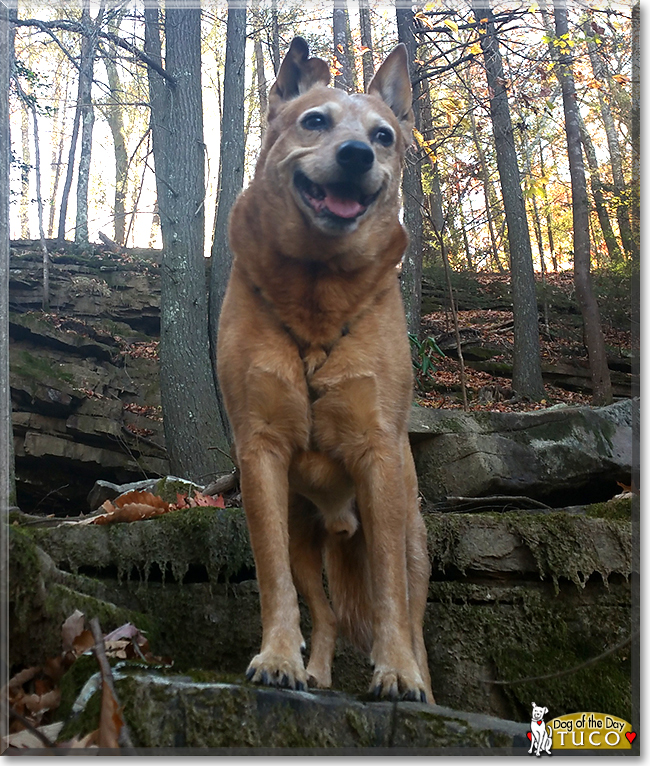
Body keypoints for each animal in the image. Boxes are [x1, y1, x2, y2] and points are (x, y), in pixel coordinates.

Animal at [215, 37, 432, 708]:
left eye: (383, 136)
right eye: (314, 121)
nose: (357, 154)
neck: (317, 294)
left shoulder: (378, 460)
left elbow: (389, 595)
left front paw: (396, 673)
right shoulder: (260, 453)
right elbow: (273, 582)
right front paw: (279, 657)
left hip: (413, 538)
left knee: (415, 617)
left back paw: (420, 680)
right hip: (303, 533)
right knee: (328, 611)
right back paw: (315, 673)